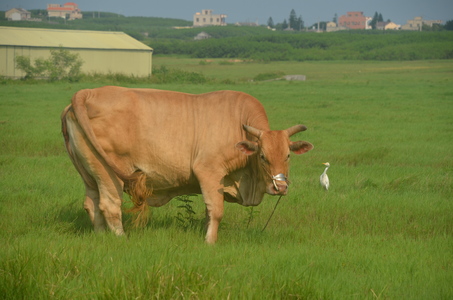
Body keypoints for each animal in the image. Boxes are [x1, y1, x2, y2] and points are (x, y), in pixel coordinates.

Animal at [61, 86, 312, 244]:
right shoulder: (209, 171)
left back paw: (100, 236)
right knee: (110, 205)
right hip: (109, 173)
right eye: (262, 156)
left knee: (92, 204)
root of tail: (88, 93)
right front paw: (210, 242)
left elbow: (208, 212)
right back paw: (121, 238)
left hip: (89, 173)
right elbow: (216, 211)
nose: (280, 187)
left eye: (288, 155)